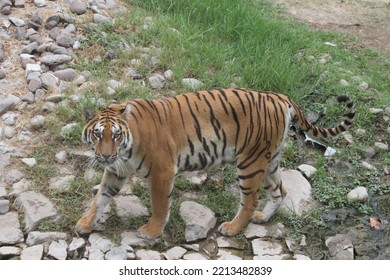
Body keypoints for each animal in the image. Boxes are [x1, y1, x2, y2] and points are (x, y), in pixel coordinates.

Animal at [74, 87, 354, 238]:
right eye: (97, 134)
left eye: (115, 135)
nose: (105, 155)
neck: (125, 149)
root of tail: (279, 97)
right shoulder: (115, 171)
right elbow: (100, 198)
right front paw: (86, 223)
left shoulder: (162, 172)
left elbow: (160, 206)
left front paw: (151, 231)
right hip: (270, 161)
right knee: (279, 191)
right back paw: (263, 218)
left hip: (250, 163)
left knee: (250, 200)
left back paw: (232, 228)